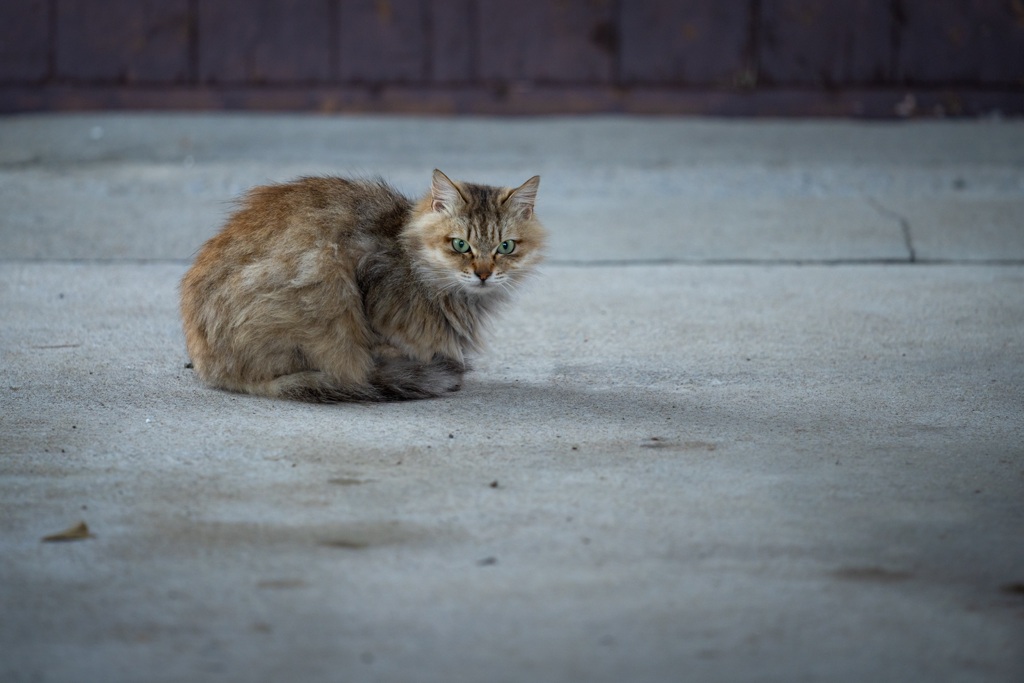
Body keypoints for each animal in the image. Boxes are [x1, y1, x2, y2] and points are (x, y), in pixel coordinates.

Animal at [178, 171, 544, 403]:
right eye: (460, 245)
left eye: (506, 247)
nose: (483, 274)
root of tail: (211, 369)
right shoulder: (372, 297)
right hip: (321, 279)